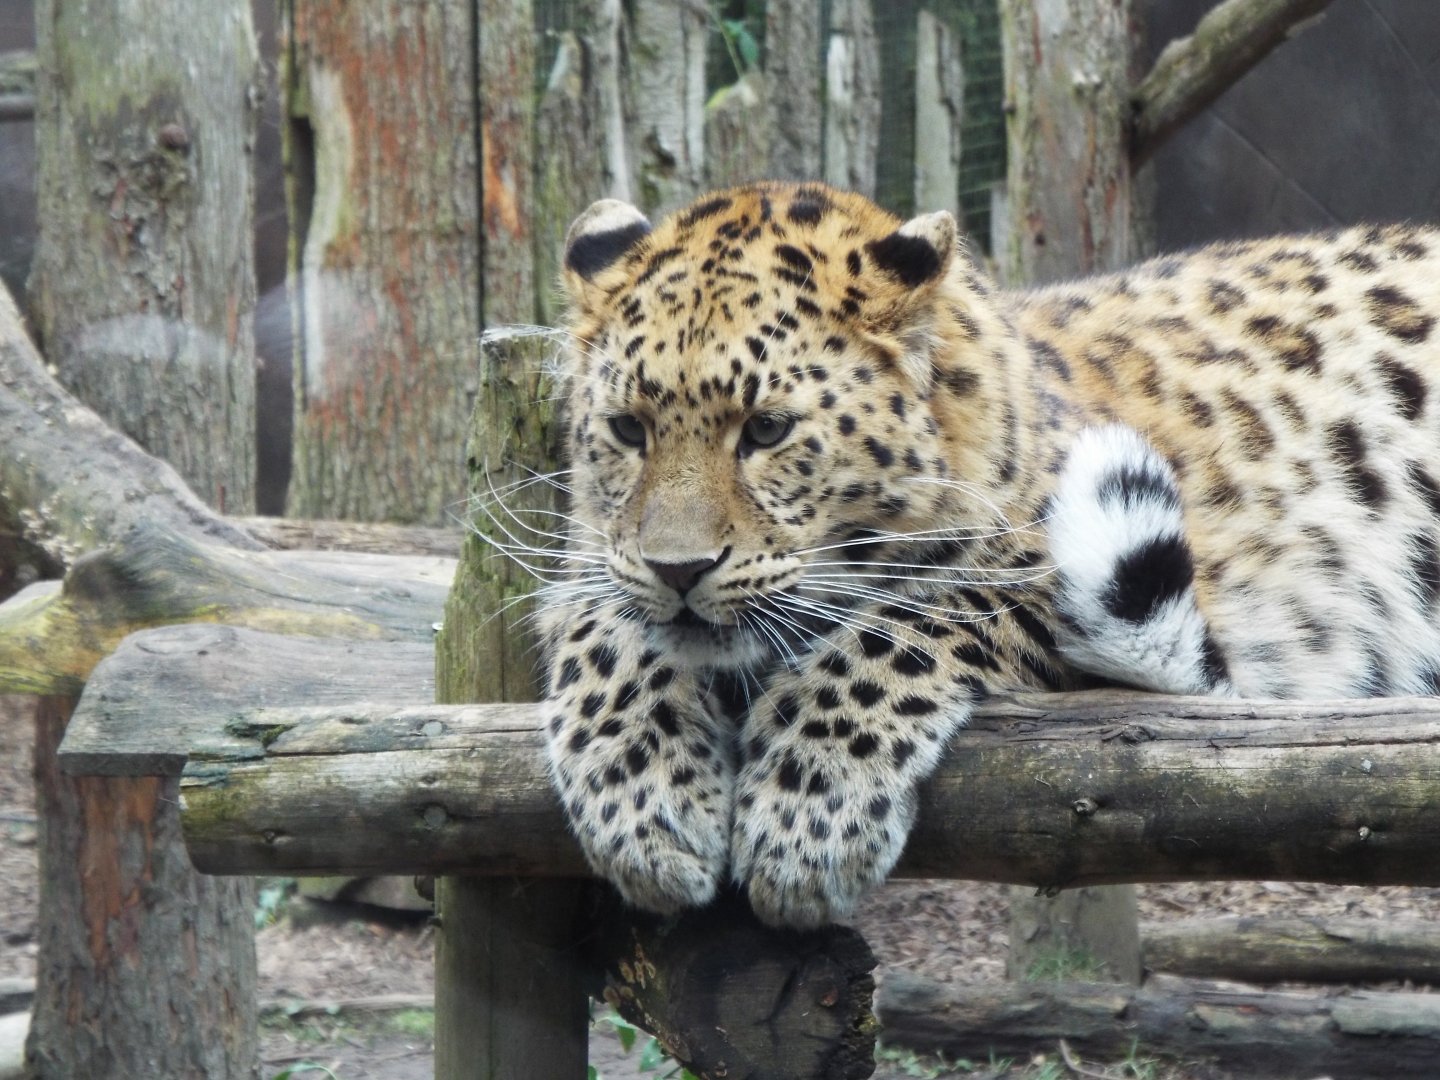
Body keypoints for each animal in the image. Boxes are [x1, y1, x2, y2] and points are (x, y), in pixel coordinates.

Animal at [513, 180, 1440, 930]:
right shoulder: (595, 563)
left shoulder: (1058, 572)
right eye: (628, 429)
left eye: (767, 430)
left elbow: (905, 622)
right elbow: (609, 629)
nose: (678, 571)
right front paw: (646, 799)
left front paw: (806, 816)